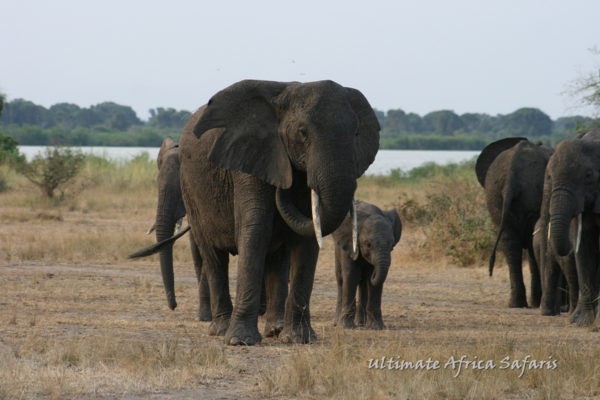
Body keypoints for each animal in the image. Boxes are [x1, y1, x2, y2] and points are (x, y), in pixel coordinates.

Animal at [133, 79, 378, 344]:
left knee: (275, 259)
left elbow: (308, 238)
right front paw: (240, 341)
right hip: (193, 193)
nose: (284, 186)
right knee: (213, 256)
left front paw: (299, 339)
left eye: (356, 134)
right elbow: (255, 230)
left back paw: (274, 329)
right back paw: (221, 329)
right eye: (302, 133)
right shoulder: (249, 161)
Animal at [332, 200, 404, 328]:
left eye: (391, 245)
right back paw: (337, 322)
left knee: (363, 283)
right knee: (341, 279)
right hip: (337, 250)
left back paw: (360, 323)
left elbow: (374, 284)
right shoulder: (349, 244)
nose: (374, 272)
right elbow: (351, 276)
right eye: (368, 244)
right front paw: (346, 326)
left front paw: (377, 327)